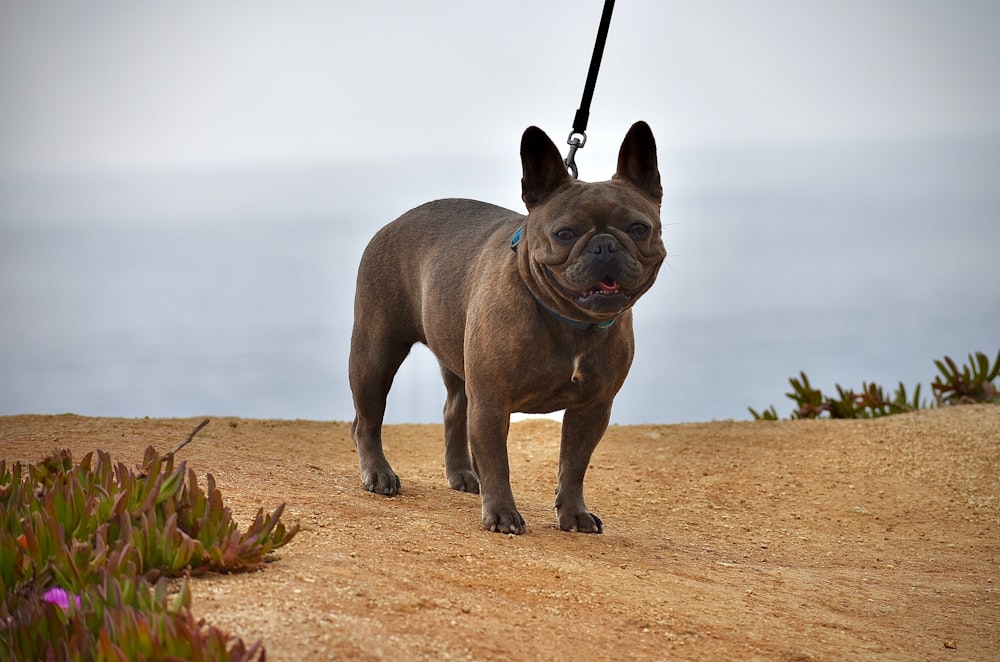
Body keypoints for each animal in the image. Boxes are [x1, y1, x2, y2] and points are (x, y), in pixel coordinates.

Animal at [348, 122, 668, 536]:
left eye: (639, 228)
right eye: (565, 234)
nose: (604, 245)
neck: (570, 321)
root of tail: (394, 222)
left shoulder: (592, 408)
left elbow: (574, 465)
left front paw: (574, 513)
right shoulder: (492, 402)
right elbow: (498, 461)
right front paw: (501, 513)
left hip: (458, 364)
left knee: (454, 411)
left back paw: (462, 474)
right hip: (375, 352)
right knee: (367, 419)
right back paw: (378, 474)